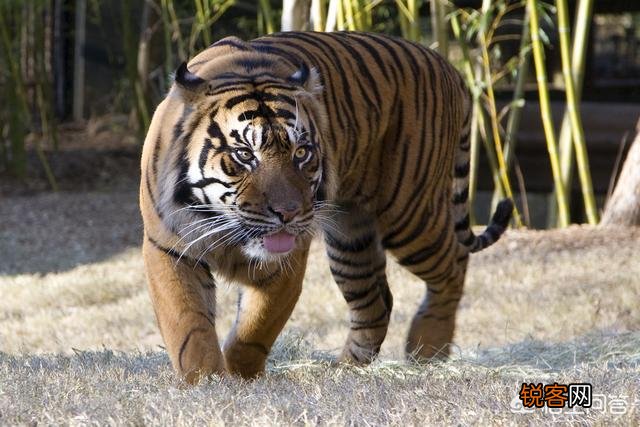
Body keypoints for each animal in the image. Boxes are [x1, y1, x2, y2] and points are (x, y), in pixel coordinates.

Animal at [140, 31, 512, 384]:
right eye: (244, 154)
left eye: (301, 152)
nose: (287, 213)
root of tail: (450, 67)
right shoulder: (168, 248)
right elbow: (189, 326)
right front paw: (205, 381)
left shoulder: (287, 259)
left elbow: (254, 330)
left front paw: (241, 376)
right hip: (351, 237)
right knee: (377, 303)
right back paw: (346, 370)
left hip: (410, 215)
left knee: (454, 263)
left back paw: (427, 347)